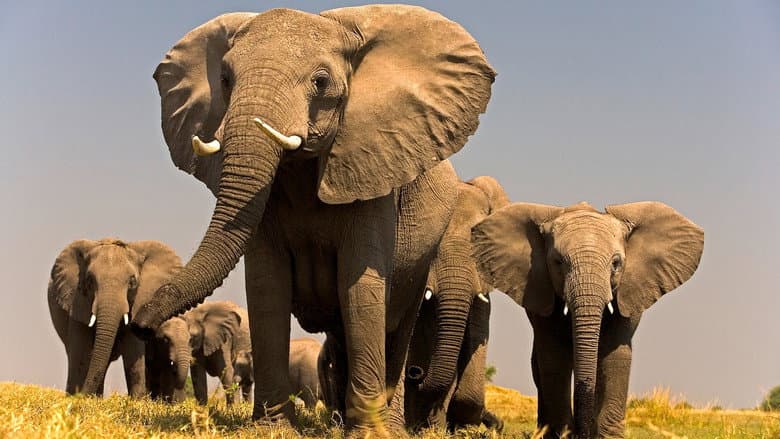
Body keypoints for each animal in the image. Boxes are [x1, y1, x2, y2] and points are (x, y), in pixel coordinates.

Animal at [47, 238, 181, 396]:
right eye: (90, 280)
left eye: (132, 282)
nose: (82, 394)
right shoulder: (77, 302)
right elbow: (81, 353)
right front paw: (76, 399)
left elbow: (133, 351)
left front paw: (137, 400)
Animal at [130, 4, 494, 434]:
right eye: (225, 79)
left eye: (320, 82)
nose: (140, 323)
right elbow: (266, 285)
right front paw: (272, 429)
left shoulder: (371, 171)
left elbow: (360, 286)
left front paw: (368, 435)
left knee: (397, 324)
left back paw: (390, 425)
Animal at [471, 201, 704, 438]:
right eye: (557, 262)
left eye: (616, 263)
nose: (582, 433)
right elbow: (555, 357)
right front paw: (564, 434)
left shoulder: (628, 292)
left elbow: (615, 353)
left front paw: (608, 436)